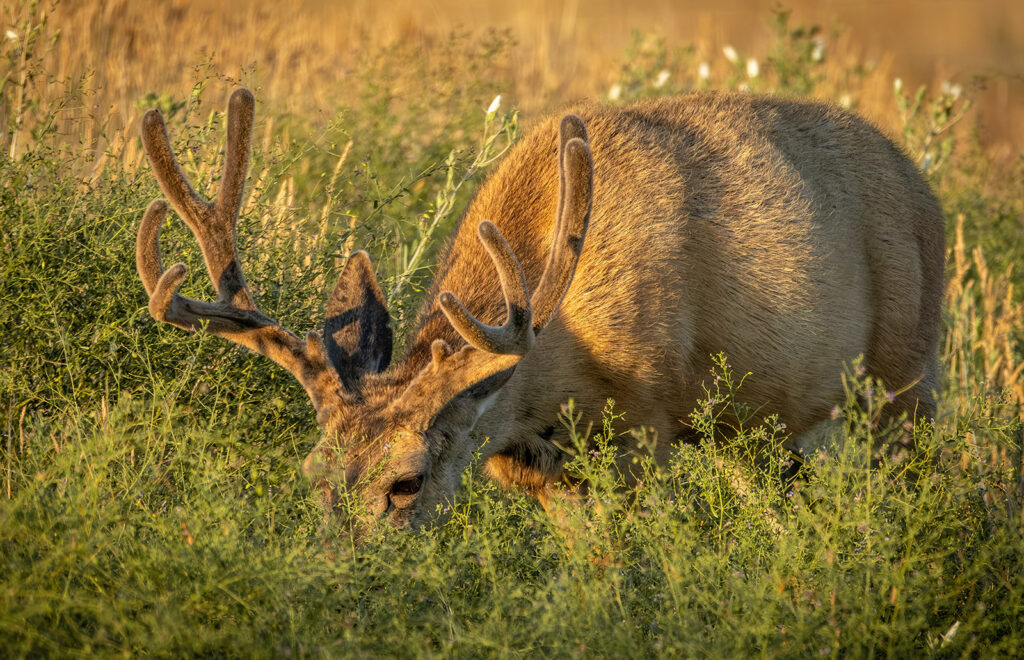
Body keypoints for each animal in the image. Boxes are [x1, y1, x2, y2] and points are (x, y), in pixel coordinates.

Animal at [136, 88, 944, 533]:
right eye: (313, 476)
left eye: (405, 483)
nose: (339, 573)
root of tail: (922, 179)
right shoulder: (533, 465)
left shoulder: (642, 425)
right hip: (761, 427)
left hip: (908, 373)